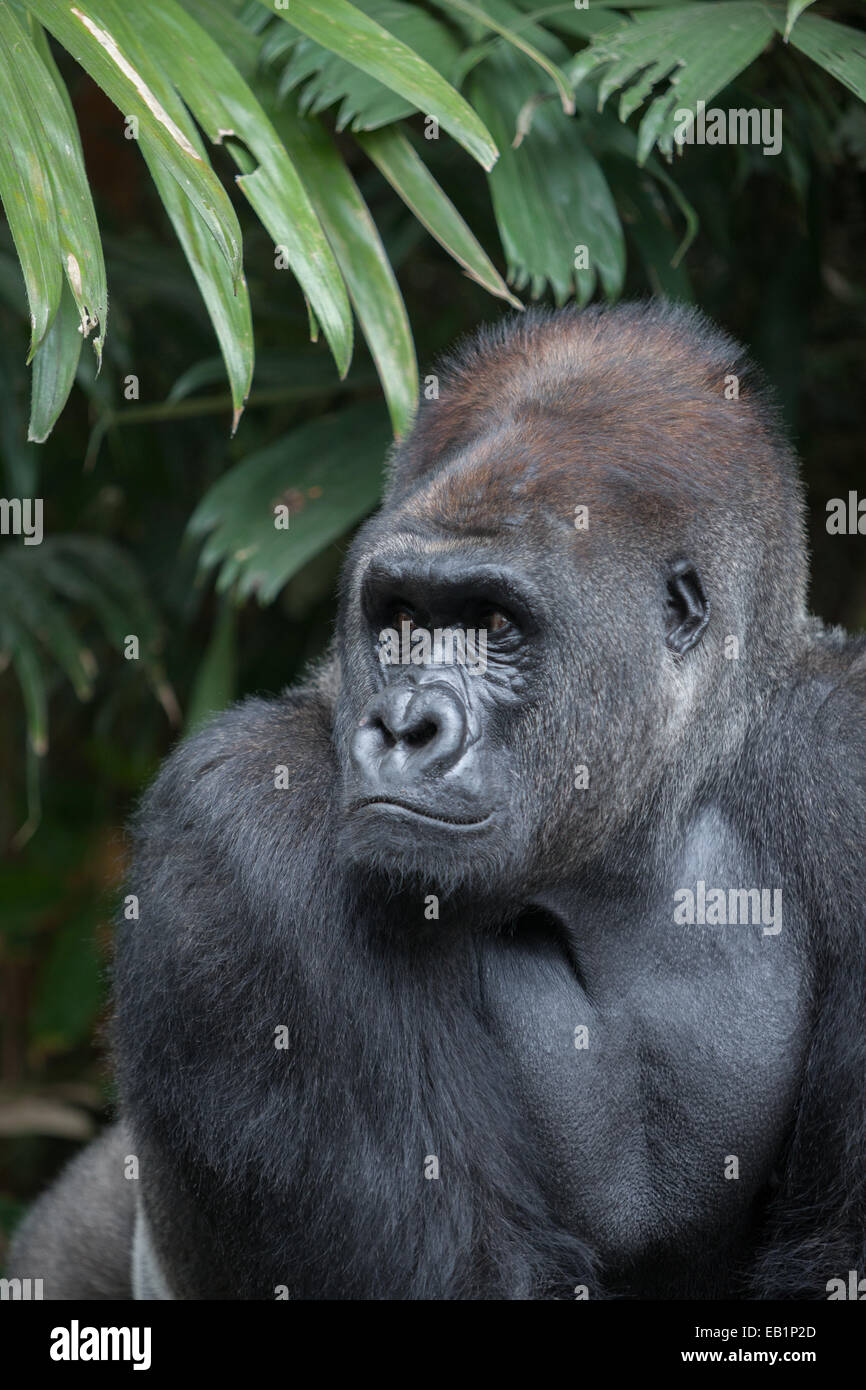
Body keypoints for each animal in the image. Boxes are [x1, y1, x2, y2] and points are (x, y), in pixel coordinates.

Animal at [8, 298, 866, 1295]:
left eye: (495, 623)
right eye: (403, 620)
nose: (403, 725)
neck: (625, 839)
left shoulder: (843, 754)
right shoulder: (238, 835)